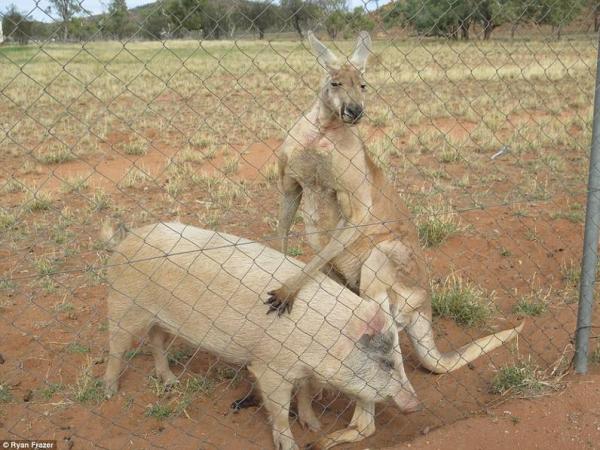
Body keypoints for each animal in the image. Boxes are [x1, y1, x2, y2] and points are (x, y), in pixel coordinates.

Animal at [102, 222, 422, 450]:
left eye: (398, 358)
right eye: (386, 362)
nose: (415, 404)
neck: (323, 340)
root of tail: (127, 239)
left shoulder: (304, 370)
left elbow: (305, 395)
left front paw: (314, 426)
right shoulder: (271, 367)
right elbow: (279, 409)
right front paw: (291, 446)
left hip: (159, 319)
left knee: (156, 340)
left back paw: (171, 383)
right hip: (123, 305)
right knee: (116, 346)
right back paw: (110, 392)